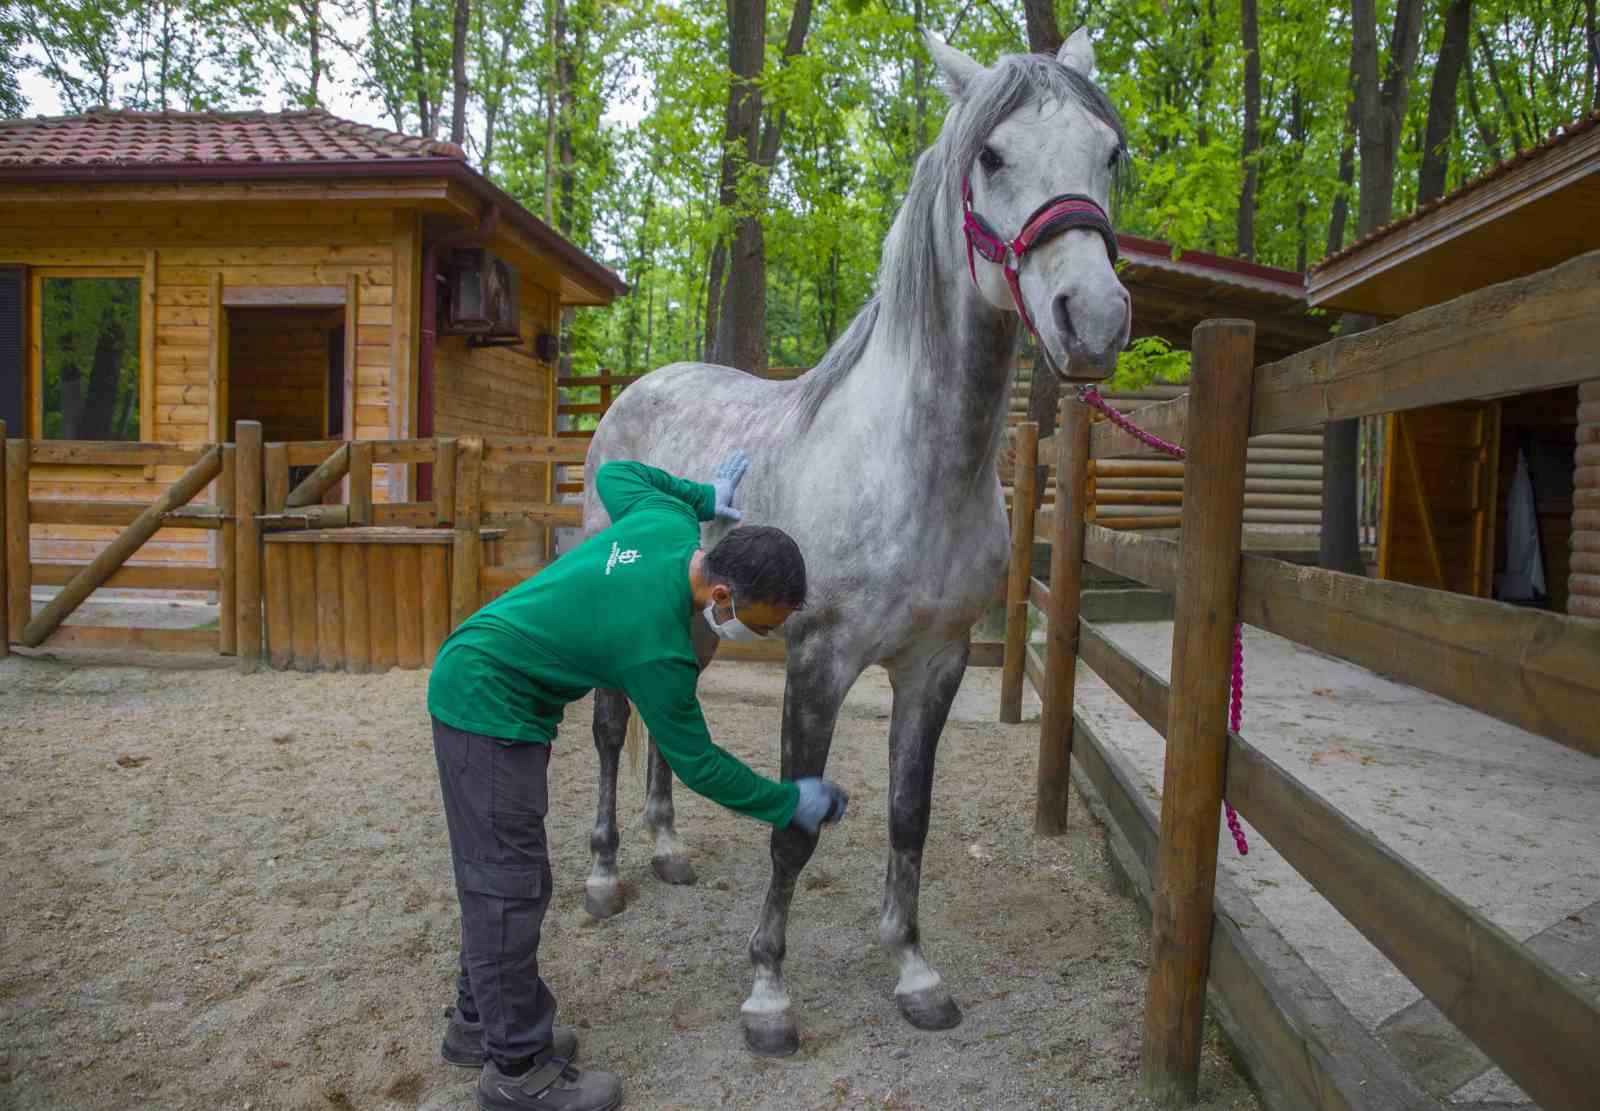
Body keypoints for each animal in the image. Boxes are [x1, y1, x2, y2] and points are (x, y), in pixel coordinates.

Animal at [576, 23, 1126, 1050]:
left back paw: (668, 848)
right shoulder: (820, 661)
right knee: (608, 726)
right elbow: (793, 826)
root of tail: (634, 391)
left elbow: (910, 816)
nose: (1097, 320)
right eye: (991, 156)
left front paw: (913, 969)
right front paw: (767, 992)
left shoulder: (935, 662)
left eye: (1109, 153)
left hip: (695, 622)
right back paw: (602, 873)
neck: (912, 464)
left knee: (665, 719)